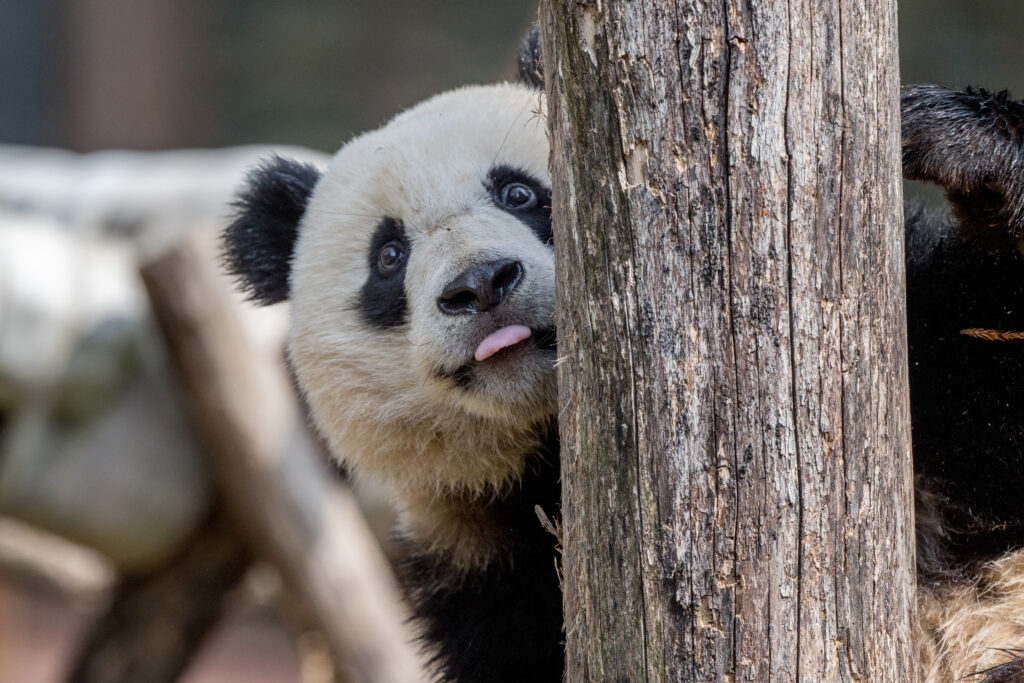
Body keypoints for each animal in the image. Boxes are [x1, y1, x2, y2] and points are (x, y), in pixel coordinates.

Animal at [222, 30, 1024, 683]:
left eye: (519, 193)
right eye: (388, 256)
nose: (481, 284)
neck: (548, 455)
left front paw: (957, 141)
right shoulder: (482, 578)